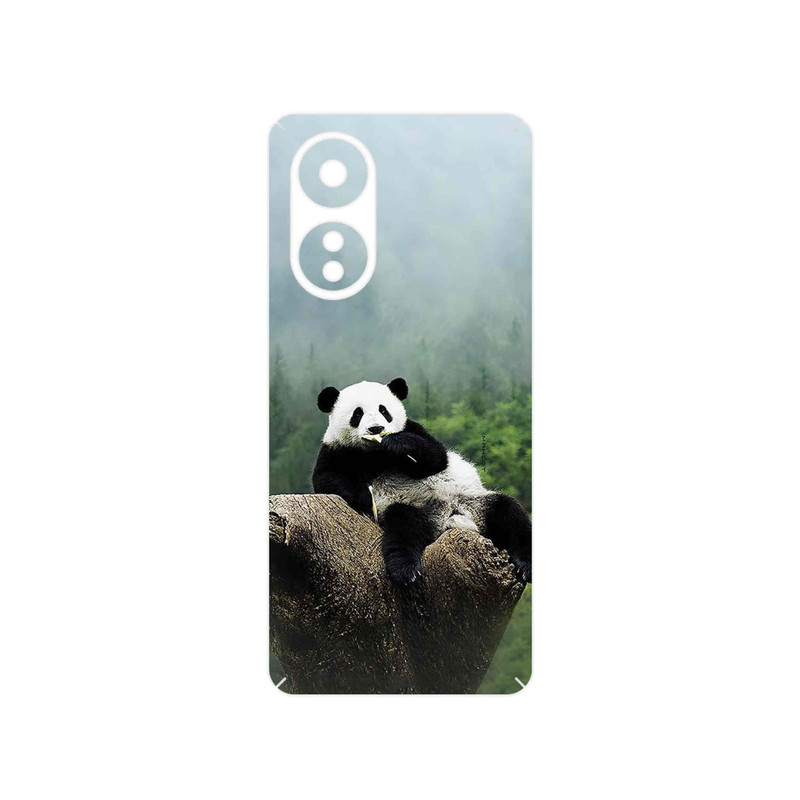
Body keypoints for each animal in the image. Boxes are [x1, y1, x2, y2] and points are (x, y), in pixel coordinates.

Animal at [312, 377, 532, 586]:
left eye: (384, 410)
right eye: (357, 414)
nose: (376, 428)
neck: (375, 454)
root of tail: (447, 518)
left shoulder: (413, 429)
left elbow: (436, 457)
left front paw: (398, 444)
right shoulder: (336, 450)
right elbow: (326, 478)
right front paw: (365, 498)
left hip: (474, 501)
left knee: (509, 513)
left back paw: (526, 565)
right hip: (412, 508)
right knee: (403, 528)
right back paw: (405, 570)